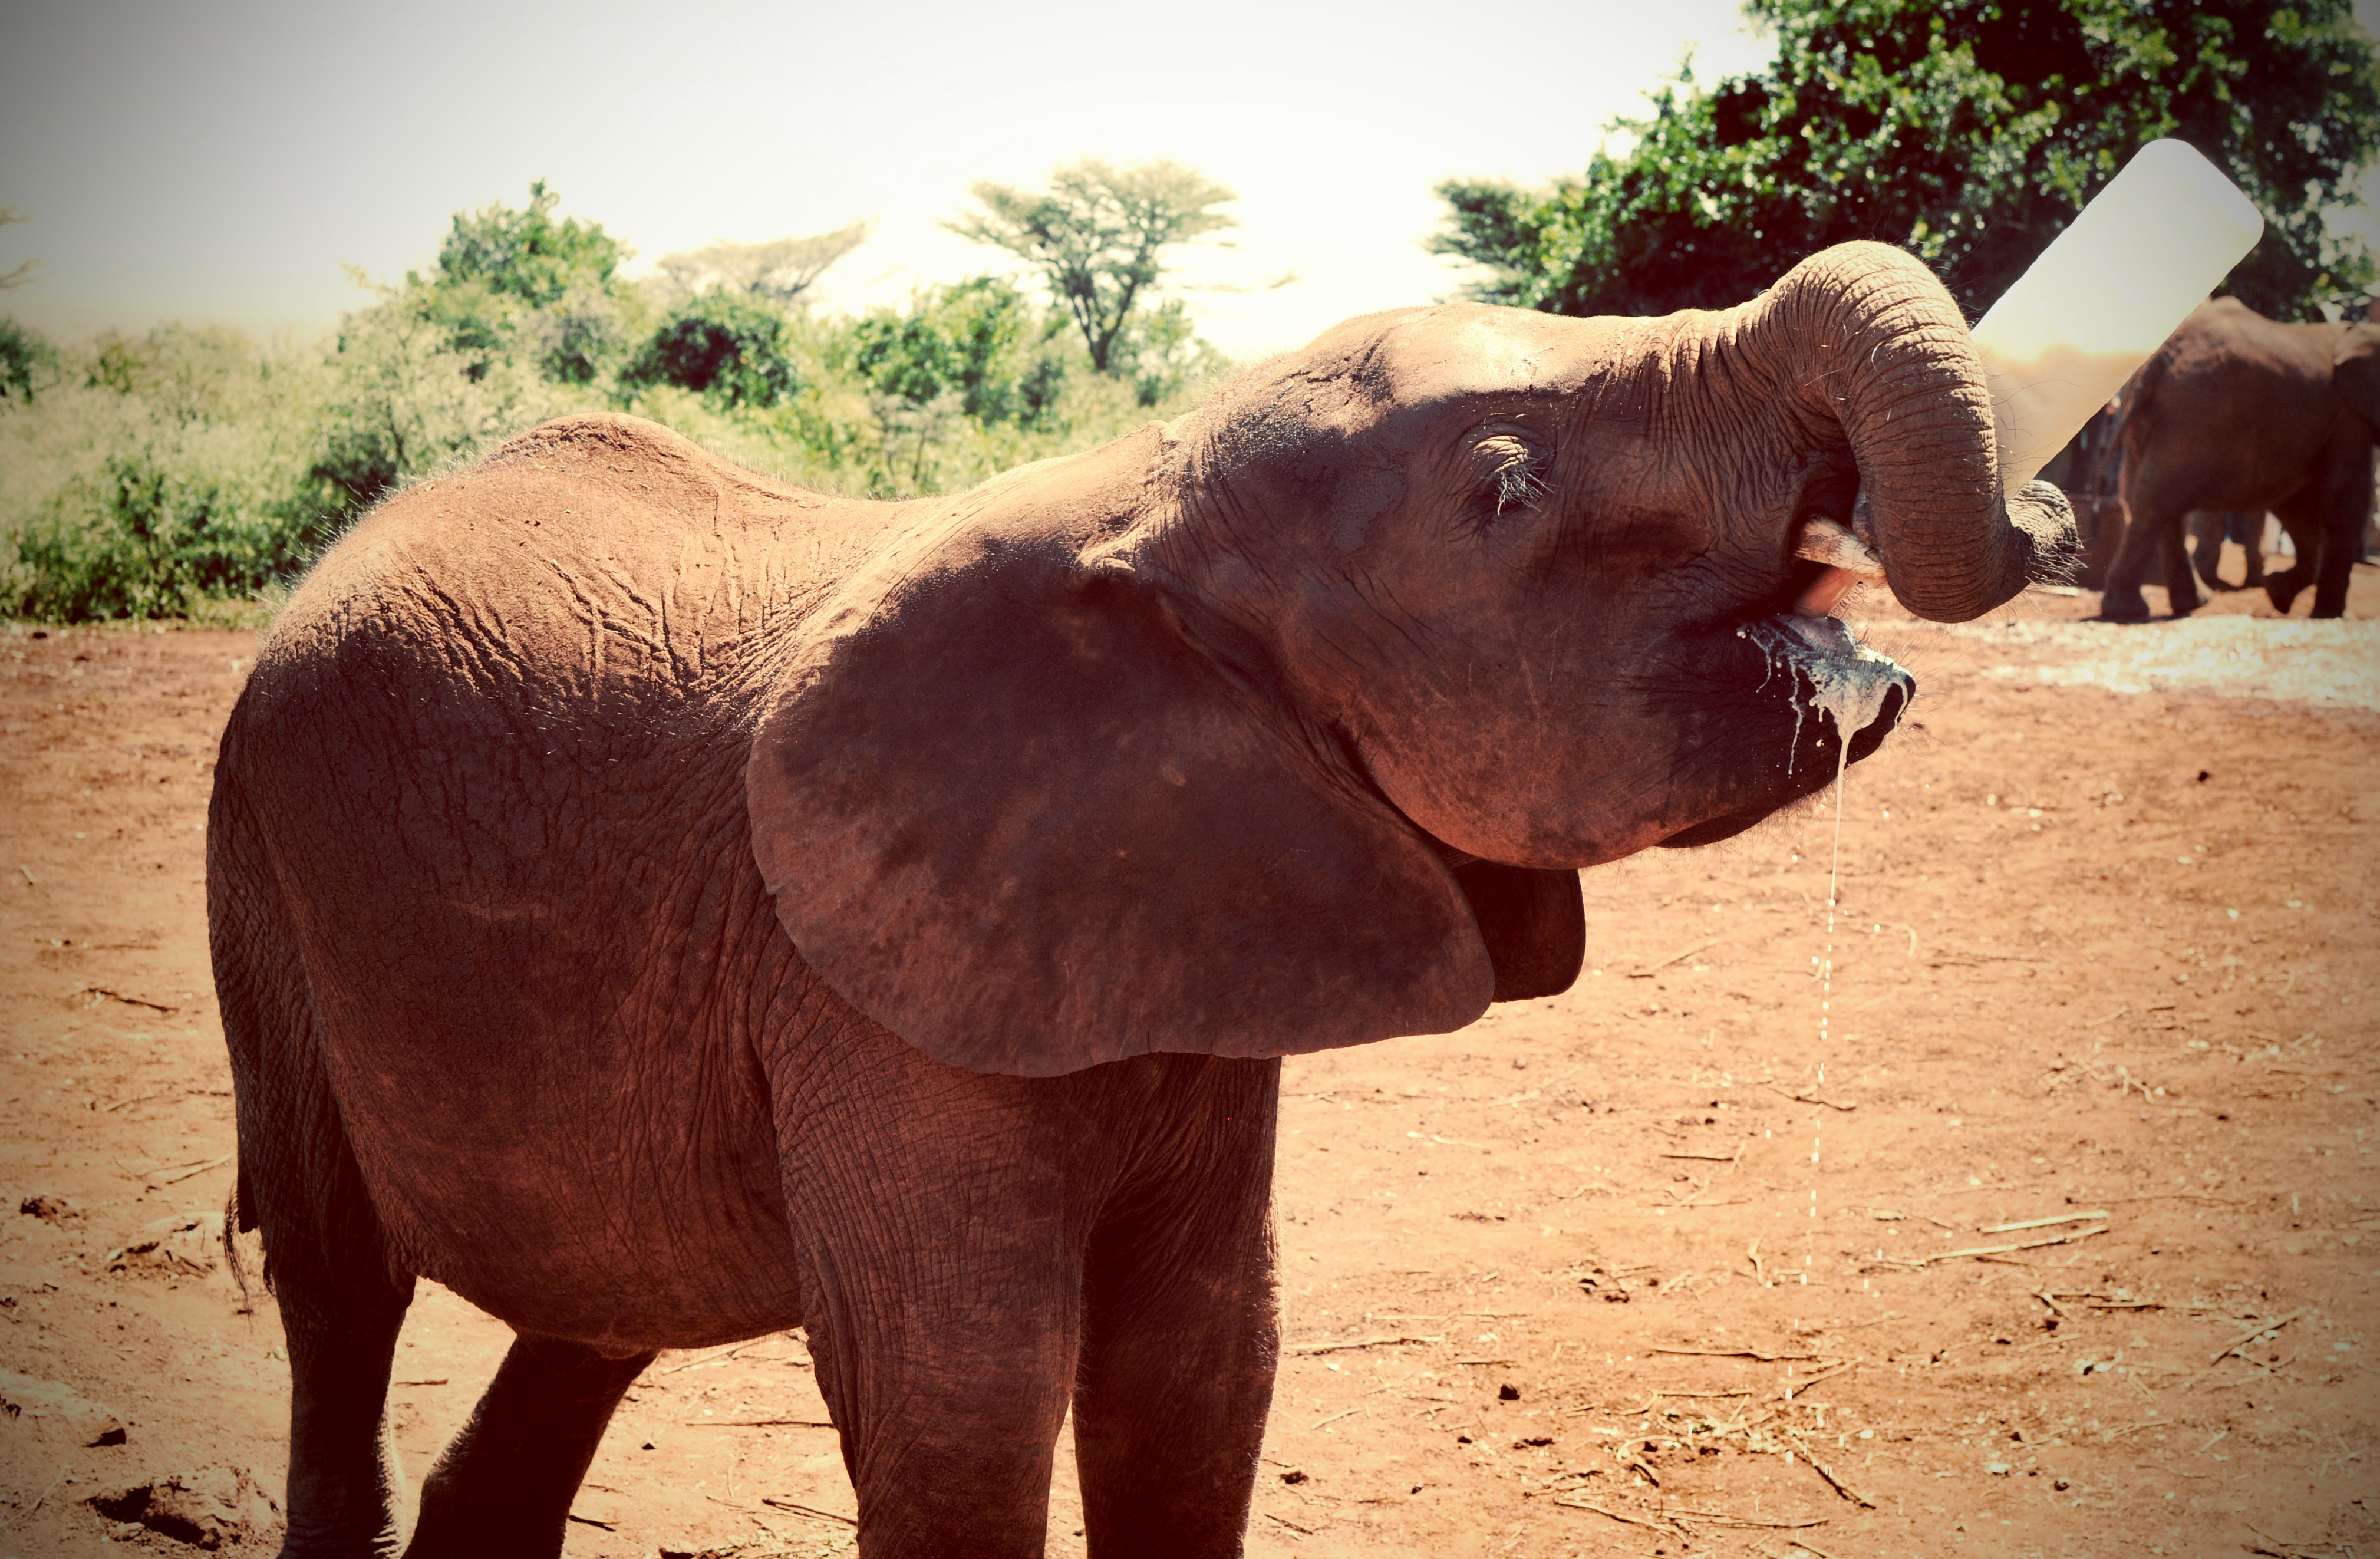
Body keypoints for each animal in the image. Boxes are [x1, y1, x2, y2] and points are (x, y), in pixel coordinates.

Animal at [207, 239, 2070, 1558]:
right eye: (1503, 486)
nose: (2047, 504)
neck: (1147, 496)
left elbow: (1196, 1374)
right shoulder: (866, 993)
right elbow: (958, 1404)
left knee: (597, 1303)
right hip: (261, 868)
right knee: (337, 1277)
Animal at [2099, 297, 2380, 620]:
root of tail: (2159, 360)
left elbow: (2296, 505)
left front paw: (2278, 594)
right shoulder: (2349, 418)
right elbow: (2344, 501)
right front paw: (2331, 616)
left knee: (2151, 502)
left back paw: (2185, 605)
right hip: (2200, 411)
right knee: (2157, 501)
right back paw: (2131, 611)